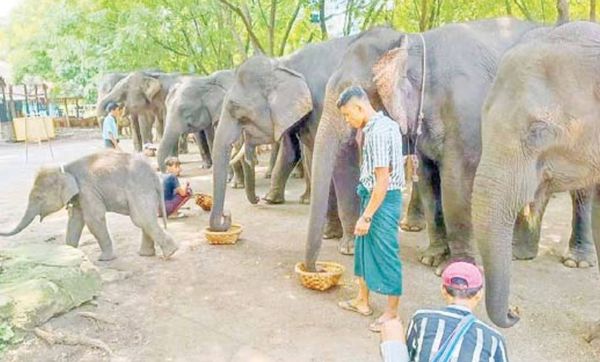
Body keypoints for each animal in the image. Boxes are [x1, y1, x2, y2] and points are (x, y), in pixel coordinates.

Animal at [0, 151, 178, 262]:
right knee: (145, 219)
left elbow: (93, 219)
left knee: (141, 219)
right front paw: (70, 253)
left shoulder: (87, 190)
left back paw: (170, 252)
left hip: (139, 188)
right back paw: (146, 254)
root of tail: (155, 174)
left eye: (39, 197)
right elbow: (75, 220)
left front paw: (104, 260)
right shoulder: (80, 195)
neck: (64, 169)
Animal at [207, 34, 356, 238]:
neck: (282, 63)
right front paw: (329, 234)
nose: (227, 216)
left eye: (236, 108)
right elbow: (298, 152)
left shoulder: (323, 105)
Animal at [302, 18, 548, 270]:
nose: (315, 268)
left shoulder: (466, 112)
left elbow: (456, 182)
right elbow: (427, 178)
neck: (414, 42)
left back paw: (521, 254)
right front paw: (431, 258)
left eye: (353, 89)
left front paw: (452, 266)